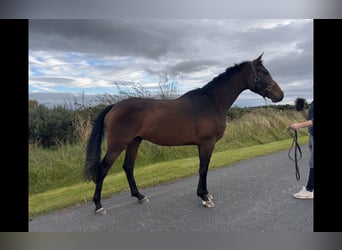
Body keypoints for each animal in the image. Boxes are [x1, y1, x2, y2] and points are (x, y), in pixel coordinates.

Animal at [84, 53, 284, 214]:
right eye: (264, 72)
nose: (280, 95)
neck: (211, 102)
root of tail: (113, 107)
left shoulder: (204, 144)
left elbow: (204, 168)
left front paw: (205, 194)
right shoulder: (206, 143)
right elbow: (203, 169)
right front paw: (204, 197)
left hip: (135, 141)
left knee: (128, 167)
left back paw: (140, 196)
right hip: (118, 144)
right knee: (103, 169)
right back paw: (98, 206)